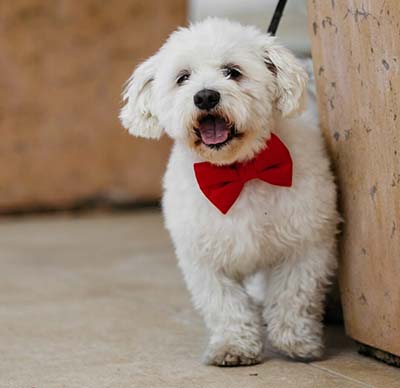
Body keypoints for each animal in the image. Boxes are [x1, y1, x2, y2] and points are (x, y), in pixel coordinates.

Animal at [119, 16, 338, 366]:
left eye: (232, 72)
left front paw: (297, 342)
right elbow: (225, 304)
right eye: (183, 77)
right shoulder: (203, 256)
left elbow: (294, 295)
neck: (237, 171)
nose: (205, 97)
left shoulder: (305, 243)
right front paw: (234, 346)